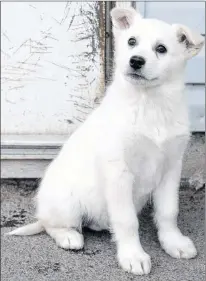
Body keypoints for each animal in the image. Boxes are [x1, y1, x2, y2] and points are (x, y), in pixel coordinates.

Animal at [8, 7, 204, 274]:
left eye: (161, 48)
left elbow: (168, 212)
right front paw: (133, 255)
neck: (150, 103)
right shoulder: (118, 171)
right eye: (131, 41)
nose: (135, 61)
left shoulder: (171, 167)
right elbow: (127, 220)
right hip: (66, 203)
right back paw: (69, 236)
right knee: (52, 225)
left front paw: (173, 242)